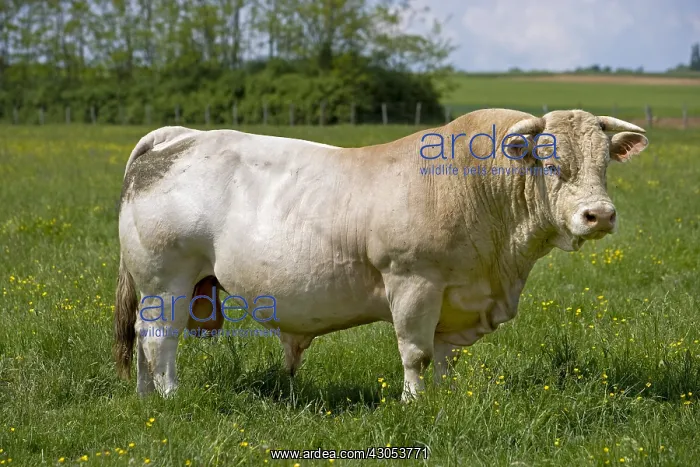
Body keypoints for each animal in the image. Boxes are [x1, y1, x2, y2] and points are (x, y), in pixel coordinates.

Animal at [113, 109, 648, 400]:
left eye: (604, 164)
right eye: (553, 164)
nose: (599, 215)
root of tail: (178, 136)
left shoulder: (458, 297)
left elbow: (445, 357)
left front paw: (445, 400)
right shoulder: (413, 280)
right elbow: (416, 352)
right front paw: (415, 403)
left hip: (162, 289)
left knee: (141, 336)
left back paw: (145, 398)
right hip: (169, 281)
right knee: (160, 340)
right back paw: (171, 396)